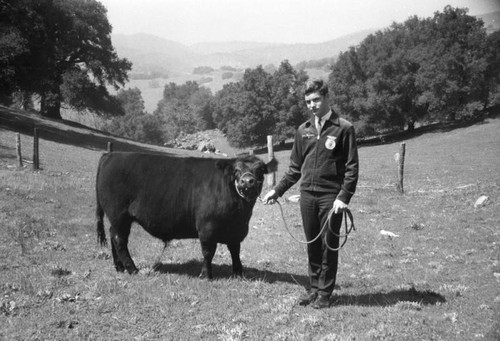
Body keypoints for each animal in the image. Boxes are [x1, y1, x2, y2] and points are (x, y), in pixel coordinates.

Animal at [95, 151, 278, 276]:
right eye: (236, 170)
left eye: (260, 170)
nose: (247, 181)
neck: (239, 214)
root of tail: (111, 154)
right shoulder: (206, 227)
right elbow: (208, 252)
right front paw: (206, 274)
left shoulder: (236, 231)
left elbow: (235, 250)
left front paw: (238, 272)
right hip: (119, 215)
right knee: (119, 240)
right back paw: (132, 269)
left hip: (118, 219)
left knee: (113, 236)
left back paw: (119, 267)